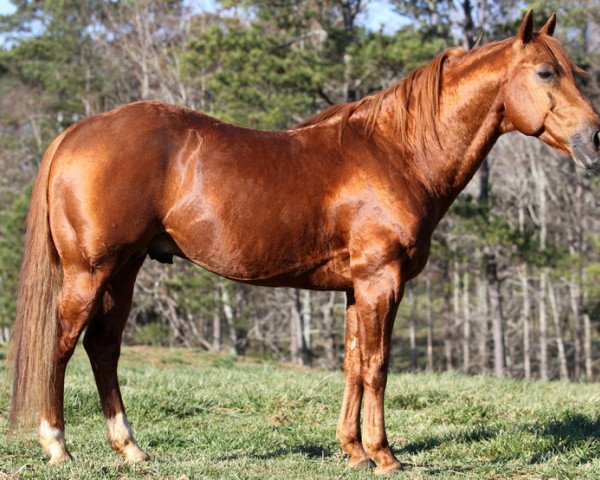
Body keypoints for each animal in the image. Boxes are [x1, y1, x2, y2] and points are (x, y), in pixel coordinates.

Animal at [5, 9, 600, 474]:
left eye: (578, 72)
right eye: (546, 71)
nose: (594, 139)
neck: (398, 152)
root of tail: (78, 131)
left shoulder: (356, 288)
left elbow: (353, 363)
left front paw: (353, 451)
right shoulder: (381, 281)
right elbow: (378, 364)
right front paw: (384, 455)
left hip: (125, 269)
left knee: (103, 347)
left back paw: (129, 448)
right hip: (89, 271)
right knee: (63, 345)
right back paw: (57, 446)